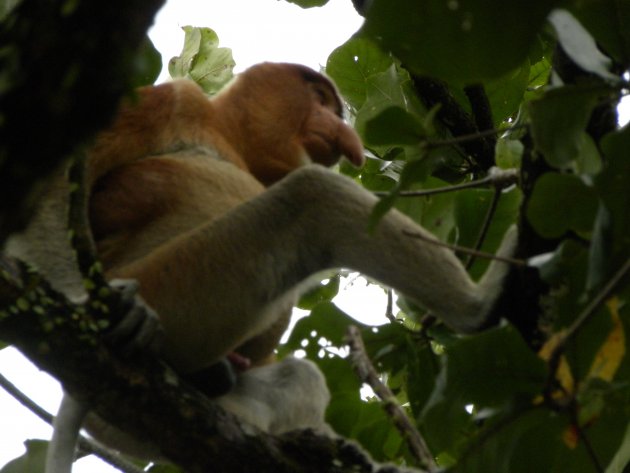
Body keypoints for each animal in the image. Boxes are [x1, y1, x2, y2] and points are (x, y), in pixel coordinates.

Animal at [6, 63, 520, 472]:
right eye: (320, 99)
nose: (344, 132)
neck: (226, 135)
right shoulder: (170, 99)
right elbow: (54, 185)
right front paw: (89, 303)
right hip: (182, 284)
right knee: (312, 196)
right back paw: (485, 303)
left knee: (300, 377)